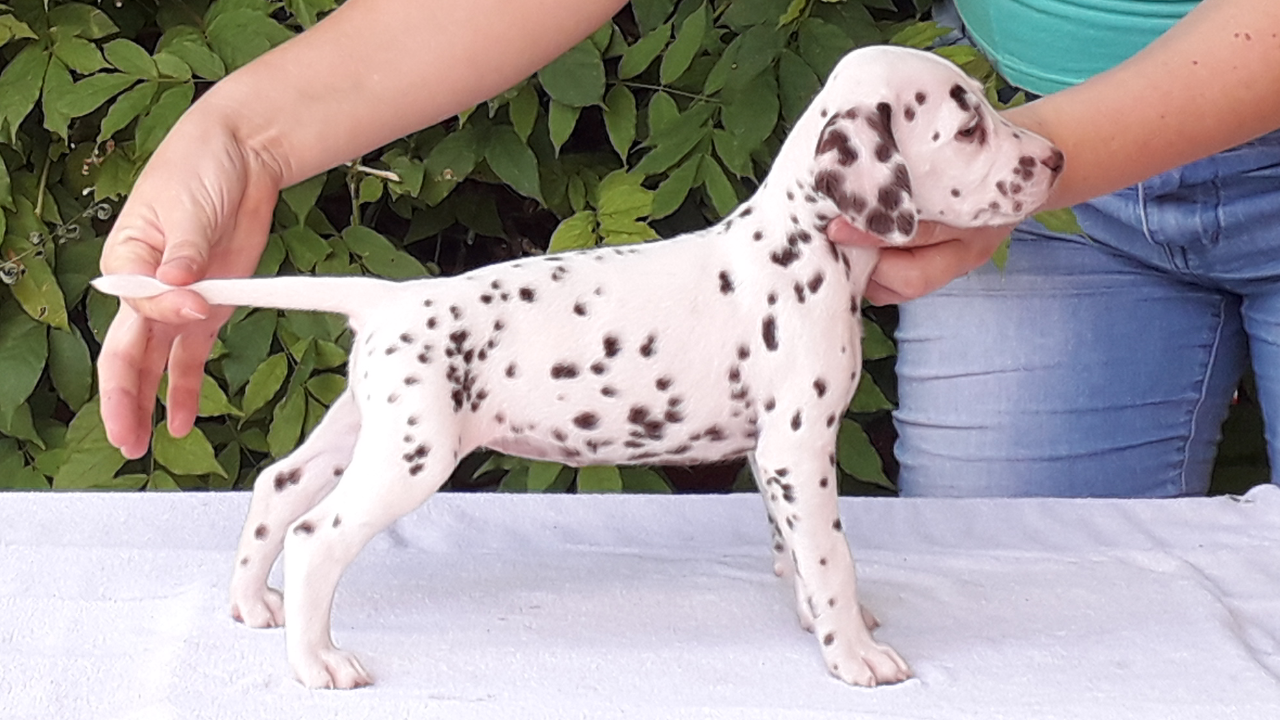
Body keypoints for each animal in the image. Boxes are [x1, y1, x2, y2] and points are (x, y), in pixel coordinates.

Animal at [94, 44, 1064, 691]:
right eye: (966, 123)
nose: (1055, 159)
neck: (805, 243)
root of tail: (390, 299)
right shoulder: (799, 446)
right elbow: (831, 552)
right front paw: (854, 654)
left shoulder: (771, 455)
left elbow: (795, 548)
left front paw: (821, 620)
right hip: (409, 459)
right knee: (314, 535)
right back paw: (317, 661)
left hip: (365, 430)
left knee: (277, 487)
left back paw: (254, 606)